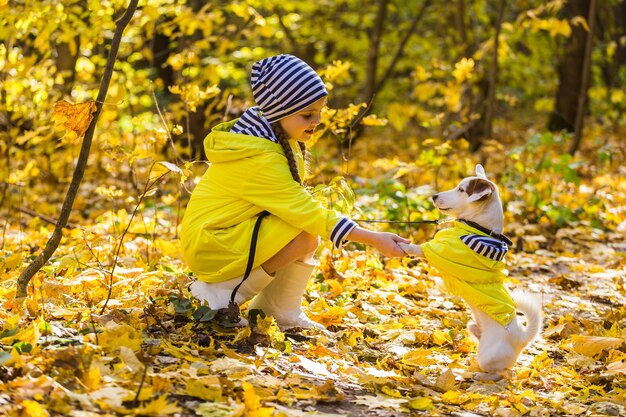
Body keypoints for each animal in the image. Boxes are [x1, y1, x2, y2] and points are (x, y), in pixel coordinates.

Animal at [400, 164, 540, 378]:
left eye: (461, 190)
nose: (434, 195)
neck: (478, 228)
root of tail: (521, 338)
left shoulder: (444, 254)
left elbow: (421, 248)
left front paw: (404, 246)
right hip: (472, 327)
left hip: (488, 355)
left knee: (503, 373)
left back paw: (481, 374)